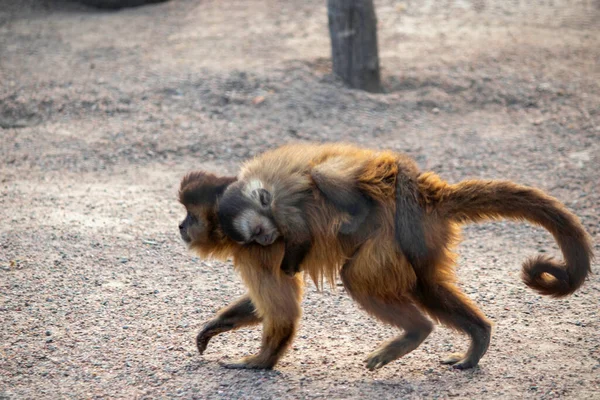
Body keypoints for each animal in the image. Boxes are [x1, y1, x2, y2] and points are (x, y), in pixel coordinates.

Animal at [180, 143, 592, 372]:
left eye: (189, 214)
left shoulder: (259, 245)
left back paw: (416, 330)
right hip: (421, 235)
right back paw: (478, 337)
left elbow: (282, 310)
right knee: (428, 285)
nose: (181, 226)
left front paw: (259, 362)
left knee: (358, 276)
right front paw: (216, 326)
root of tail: (424, 192)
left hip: (392, 232)